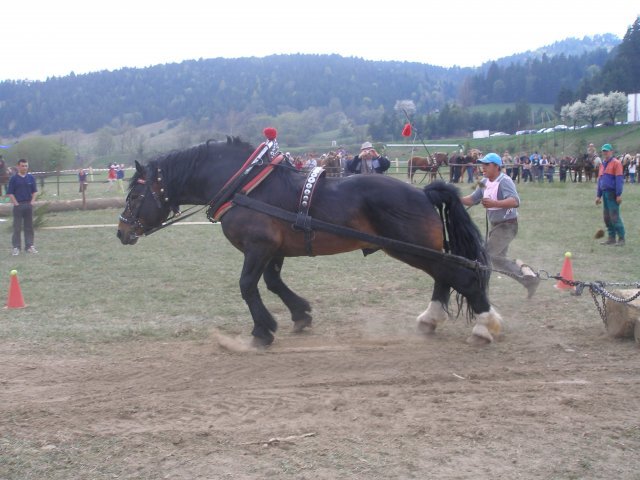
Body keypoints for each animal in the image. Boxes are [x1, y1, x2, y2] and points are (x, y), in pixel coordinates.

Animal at [117, 136, 502, 348]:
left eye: (135, 195)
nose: (122, 232)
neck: (246, 187)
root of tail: (424, 191)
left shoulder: (258, 247)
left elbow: (247, 285)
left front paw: (263, 330)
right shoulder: (273, 249)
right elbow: (273, 283)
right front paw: (300, 314)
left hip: (410, 248)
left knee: (460, 277)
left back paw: (484, 326)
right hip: (421, 250)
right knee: (444, 278)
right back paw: (430, 320)